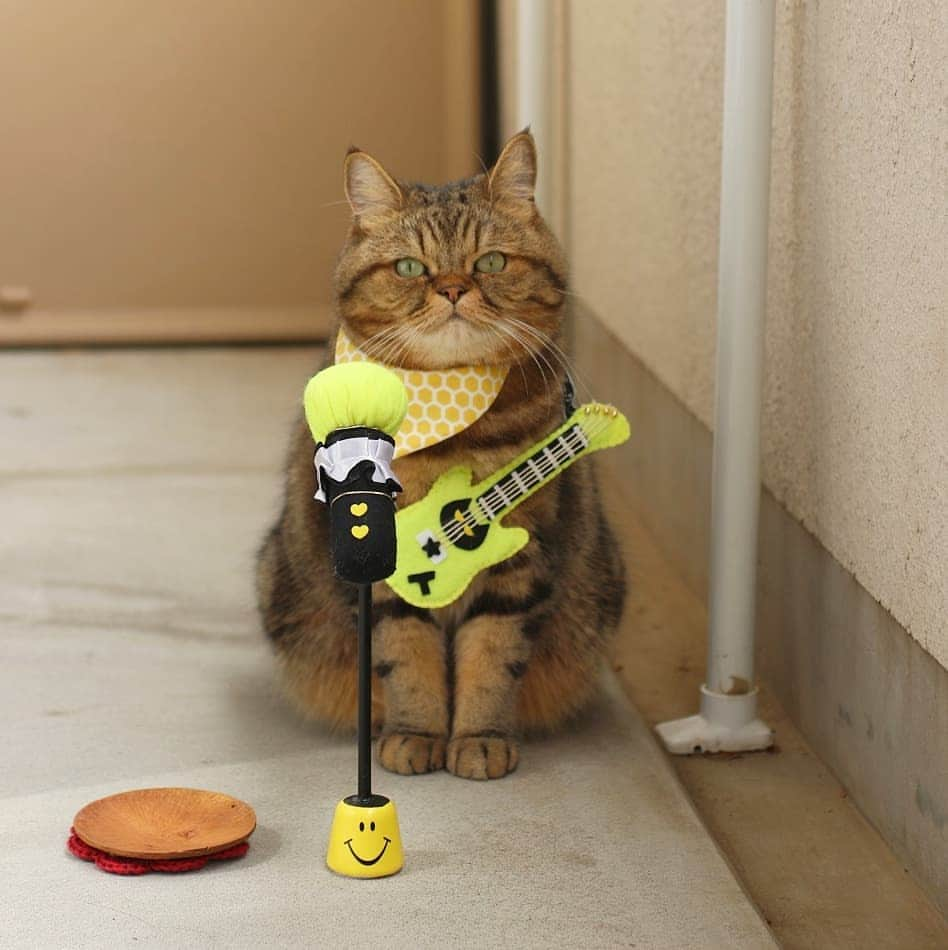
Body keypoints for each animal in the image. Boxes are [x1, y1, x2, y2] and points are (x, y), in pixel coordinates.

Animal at [256, 130, 624, 780]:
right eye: (410, 267)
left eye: (490, 262)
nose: (452, 289)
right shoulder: (376, 560)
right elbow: (406, 655)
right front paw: (415, 733)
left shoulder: (520, 558)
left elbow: (492, 655)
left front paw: (480, 736)